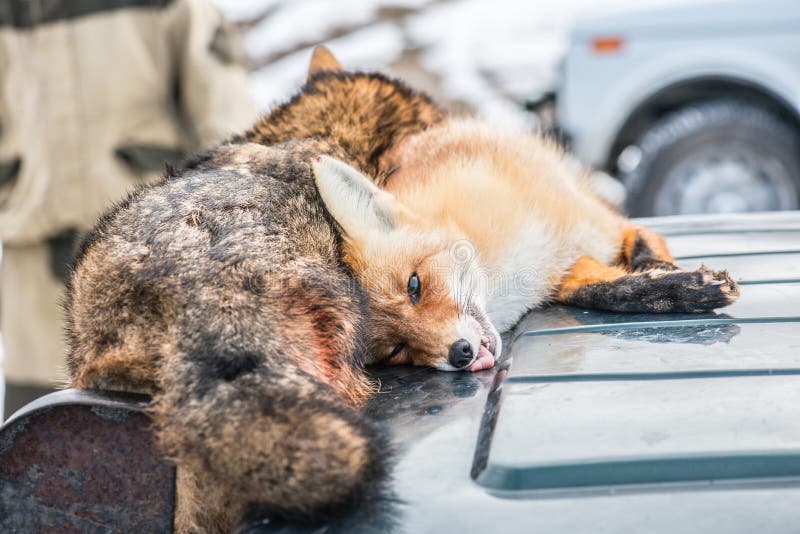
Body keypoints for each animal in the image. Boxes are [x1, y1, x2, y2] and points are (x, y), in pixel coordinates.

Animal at [312, 120, 740, 373]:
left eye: (414, 286)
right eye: (397, 350)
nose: (459, 354)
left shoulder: (598, 226)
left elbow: (642, 243)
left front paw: (674, 280)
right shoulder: (563, 275)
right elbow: (607, 292)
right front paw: (671, 288)